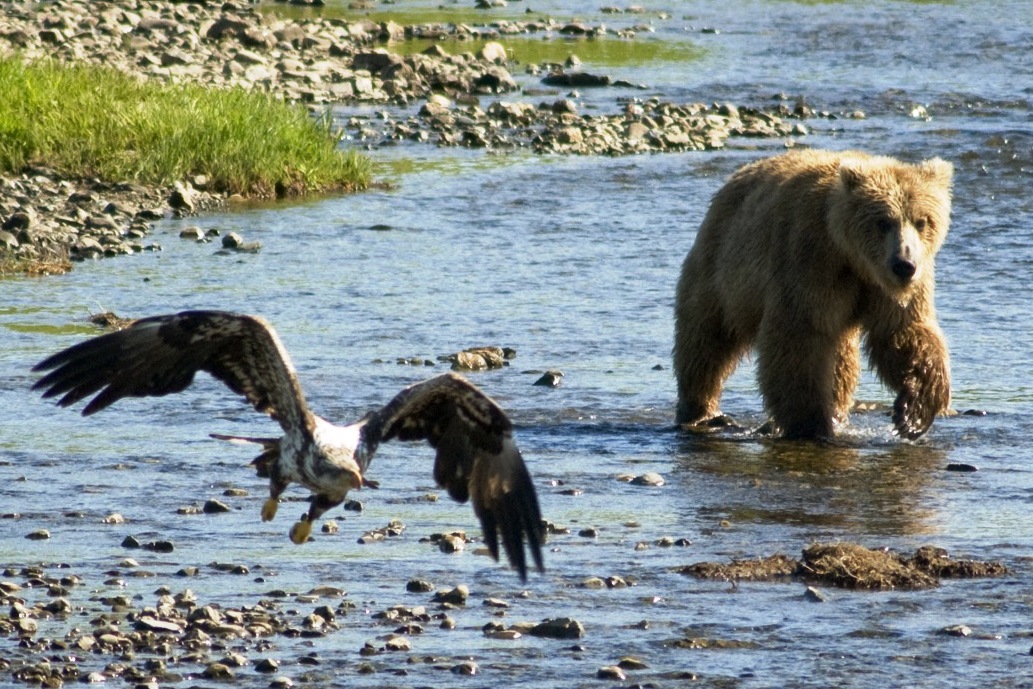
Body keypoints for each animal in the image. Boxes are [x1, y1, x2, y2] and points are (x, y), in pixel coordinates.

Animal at [673, 149, 954, 442]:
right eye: (883, 221)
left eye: (922, 221)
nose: (904, 264)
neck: (853, 259)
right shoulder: (810, 261)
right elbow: (798, 337)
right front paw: (809, 423)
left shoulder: (891, 288)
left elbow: (902, 331)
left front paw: (913, 414)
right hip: (722, 268)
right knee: (706, 339)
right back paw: (701, 410)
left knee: (841, 360)